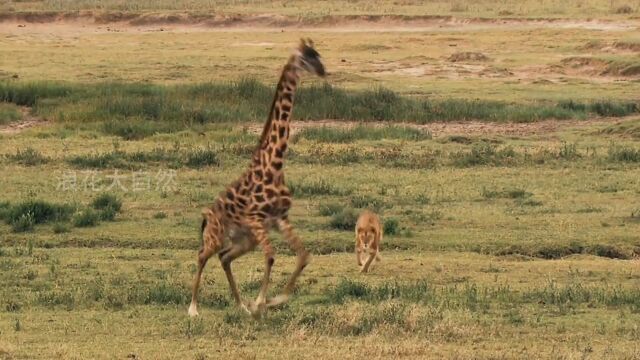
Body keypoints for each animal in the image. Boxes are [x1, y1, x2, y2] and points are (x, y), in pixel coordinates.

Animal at [186, 38, 324, 318]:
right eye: (307, 57)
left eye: (317, 54)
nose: (323, 71)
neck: (275, 164)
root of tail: (206, 216)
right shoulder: (257, 219)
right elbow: (271, 256)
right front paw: (261, 302)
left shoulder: (280, 219)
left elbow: (303, 255)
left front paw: (273, 300)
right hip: (217, 235)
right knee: (202, 255)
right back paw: (193, 308)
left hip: (244, 240)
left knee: (224, 257)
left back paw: (241, 305)